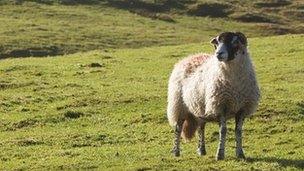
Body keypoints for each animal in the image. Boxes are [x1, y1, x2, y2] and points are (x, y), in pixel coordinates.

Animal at [167, 31, 260, 160]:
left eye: (235, 42)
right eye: (217, 43)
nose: (218, 54)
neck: (234, 84)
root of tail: (189, 57)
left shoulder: (242, 108)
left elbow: (238, 130)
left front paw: (240, 154)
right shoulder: (221, 105)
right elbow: (223, 130)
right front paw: (220, 154)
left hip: (199, 106)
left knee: (201, 127)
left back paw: (202, 150)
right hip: (179, 105)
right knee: (178, 128)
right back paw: (176, 152)